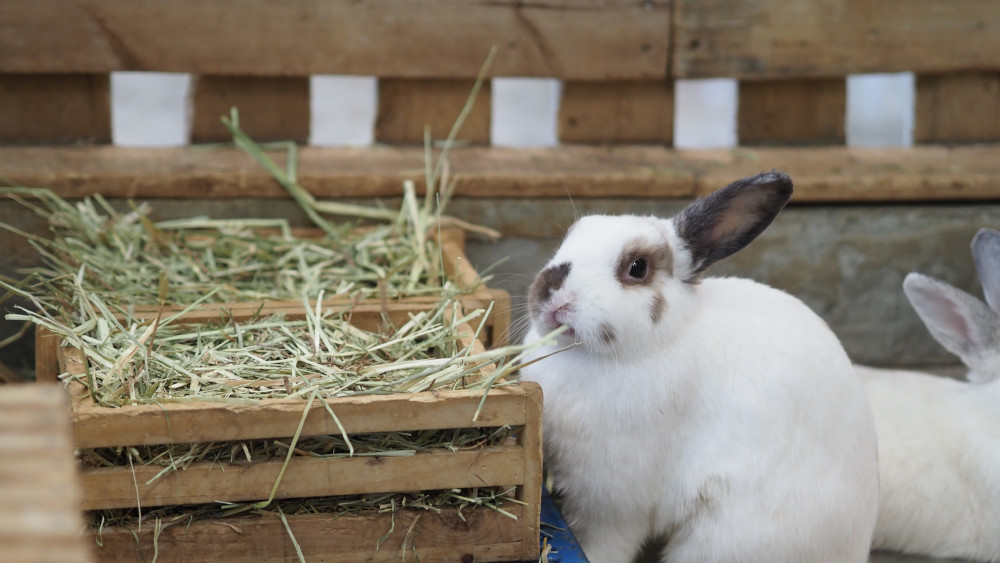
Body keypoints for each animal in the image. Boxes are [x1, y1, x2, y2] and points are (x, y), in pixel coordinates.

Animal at [518, 171, 879, 563]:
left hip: (724, 541)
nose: (552, 296)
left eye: (638, 267)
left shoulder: (613, 503)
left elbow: (602, 545)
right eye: (567, 240)